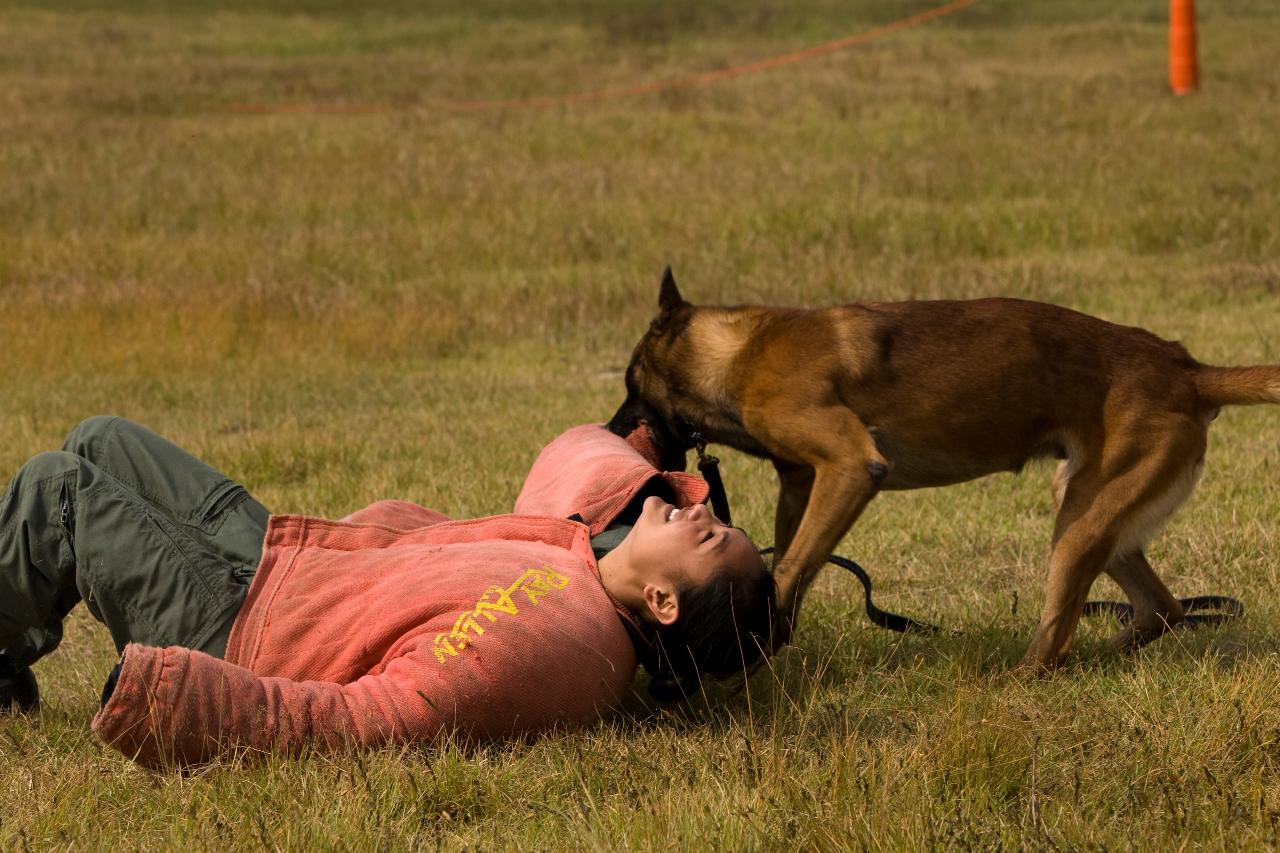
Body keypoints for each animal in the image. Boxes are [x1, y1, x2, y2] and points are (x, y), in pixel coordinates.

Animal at [611, 268, 1280, 666]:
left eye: (629, 384)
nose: (614, 431)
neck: (739, 353)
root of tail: (1187, 369)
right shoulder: (801, 483)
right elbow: (789, 560)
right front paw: (777, 641)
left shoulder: (851, 467)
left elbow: (792, 566)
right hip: (1097, 514)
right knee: (1159, 609)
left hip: (1082, 521)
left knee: (1058, 637)